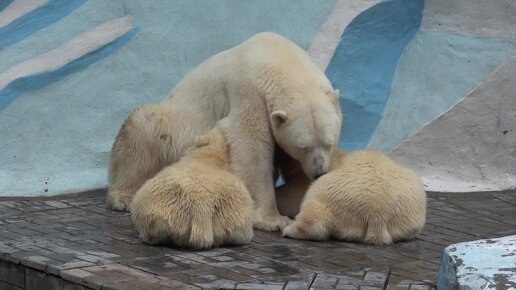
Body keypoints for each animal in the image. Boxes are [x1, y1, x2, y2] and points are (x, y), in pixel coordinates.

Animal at [108, 32, 342, 231]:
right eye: (304, 147)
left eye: (329, 144)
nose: (319, 172)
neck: (280, 57)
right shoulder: (249, 90)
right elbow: (251, 146)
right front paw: (273, 219)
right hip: (173, 129)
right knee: (143, 126)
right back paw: (123, 197)